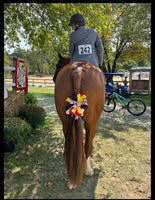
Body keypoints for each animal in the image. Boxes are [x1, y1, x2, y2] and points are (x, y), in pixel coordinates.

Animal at [53, 54, 105, 190]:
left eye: (58, 65)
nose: (54, 78)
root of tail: (78, 71)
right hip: (92, 122)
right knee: (88, 145)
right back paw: (87, 170)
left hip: (65, 121)